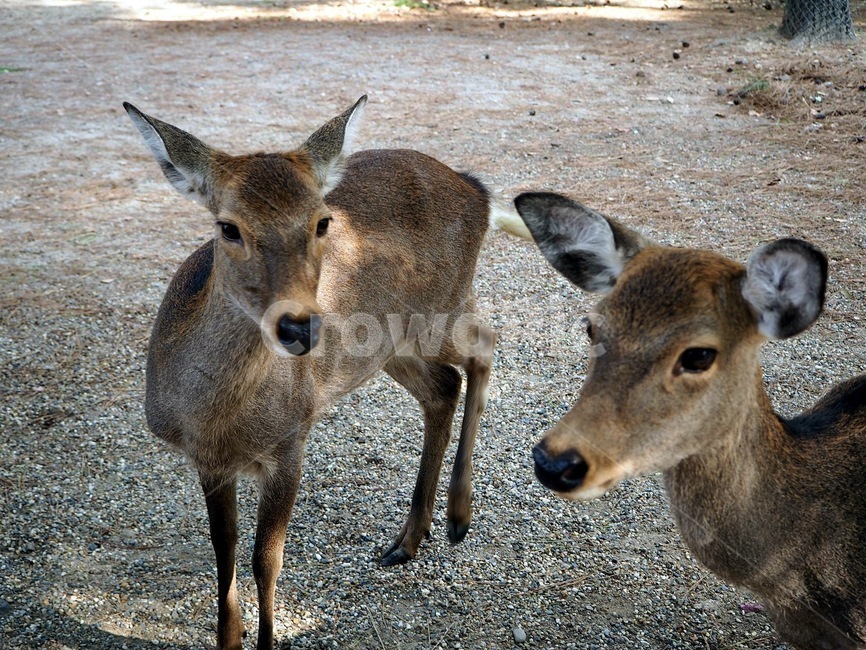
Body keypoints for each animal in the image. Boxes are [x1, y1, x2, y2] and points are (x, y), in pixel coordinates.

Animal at [124, 95, 531, 650]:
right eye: (228, 227)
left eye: (322, 222)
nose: (300, 326)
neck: (213, 421)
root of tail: (478, 191)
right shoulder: (208, 463)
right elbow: (224, 556)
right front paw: (230, 638)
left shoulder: (291, 439)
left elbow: (265, 562)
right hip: (384, 345)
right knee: (444, 385)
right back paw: (409, 538)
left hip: (441, 307)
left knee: (485, 345)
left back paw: (458, 516)